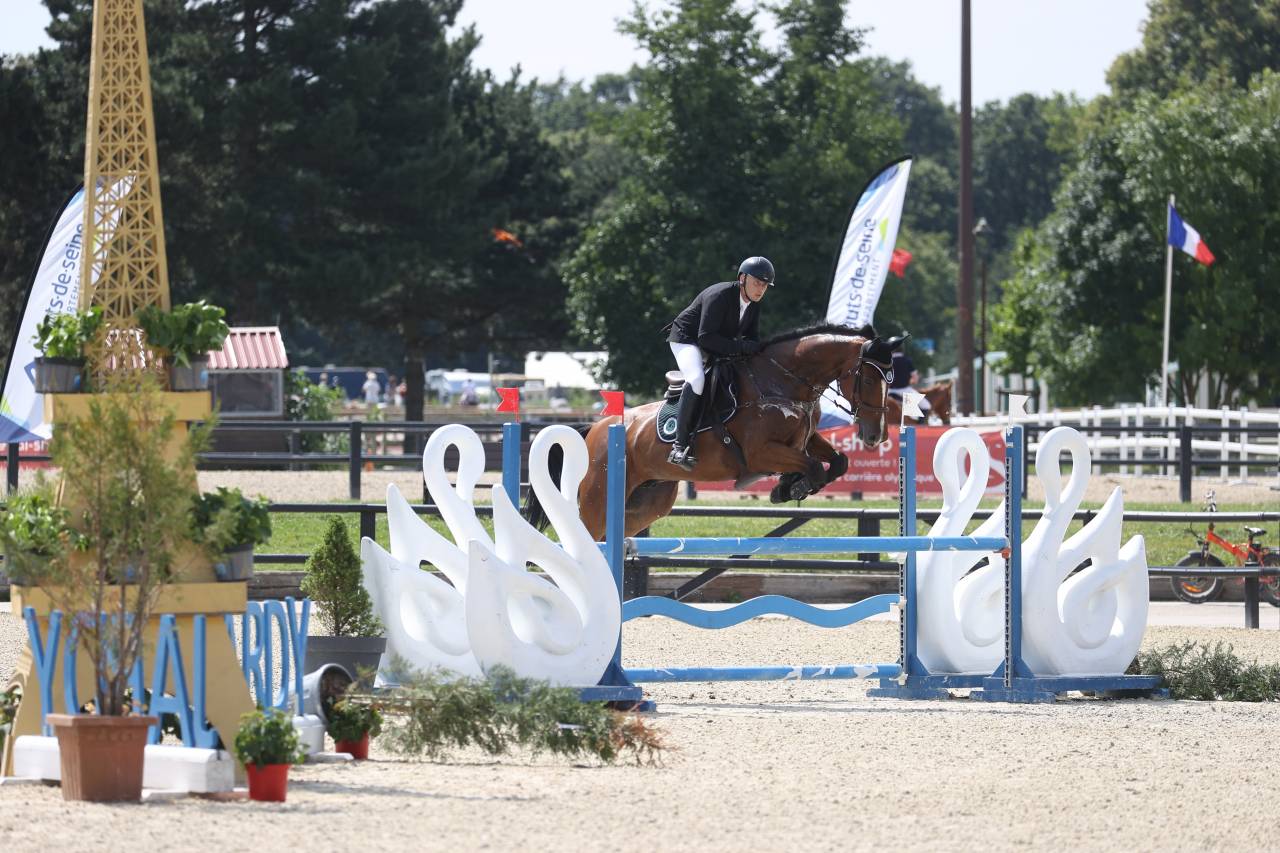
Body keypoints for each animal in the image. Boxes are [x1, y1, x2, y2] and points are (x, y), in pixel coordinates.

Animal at [526, 326, 904, 540]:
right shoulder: (761, 452)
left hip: (644, 505)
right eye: (869, 379)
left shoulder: (805, 440)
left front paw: (789, 487)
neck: (782, 382)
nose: (875, 436)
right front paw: (789, 488)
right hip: (597, 496)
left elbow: (837, 462)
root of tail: (595, 428)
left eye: (891, 378)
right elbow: (812, 466)